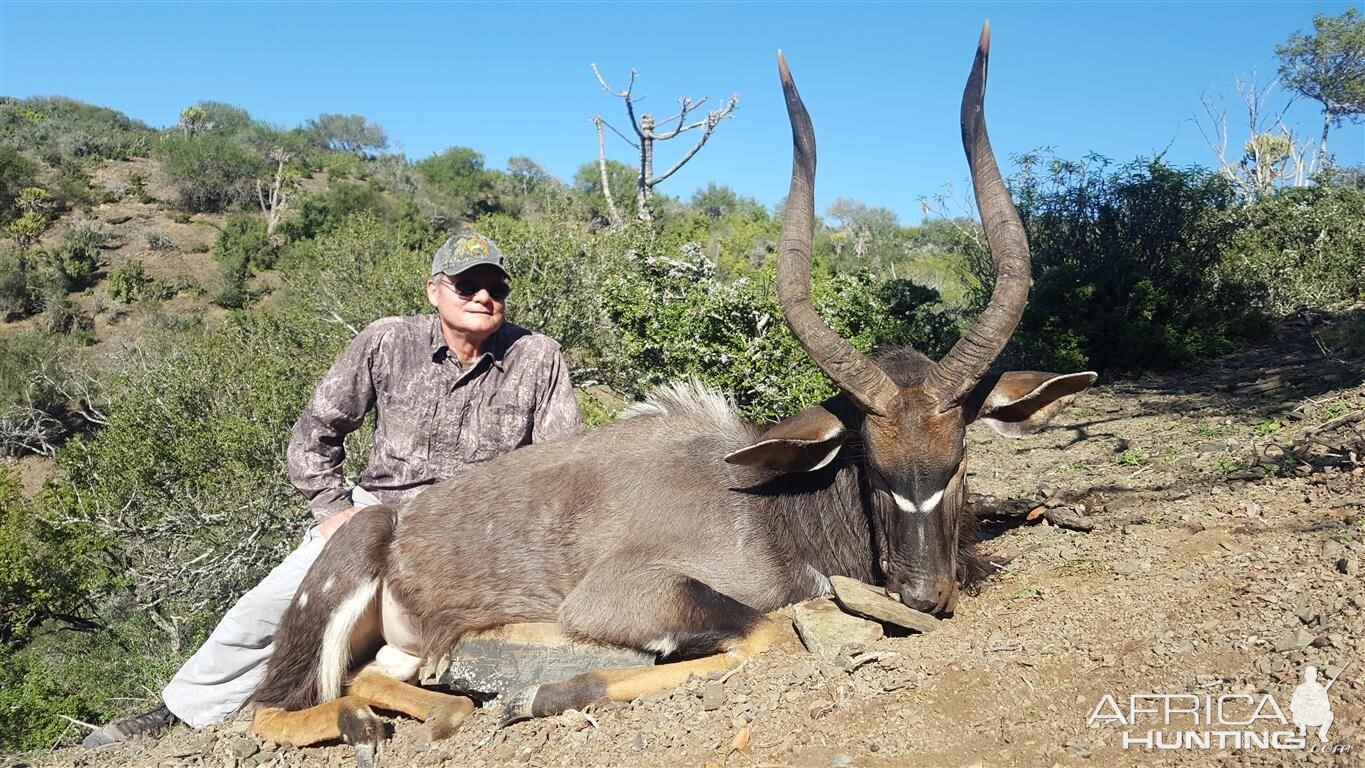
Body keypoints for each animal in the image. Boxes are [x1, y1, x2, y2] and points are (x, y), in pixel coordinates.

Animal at [248, 25, 1097, 758]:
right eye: (869, 461)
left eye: (957, 460)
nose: (923, 594)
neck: (770, 509)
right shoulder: (626, 594)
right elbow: (765, 633)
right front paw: (543, 692)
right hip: (340, 580)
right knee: (274, 708)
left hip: (392, 649)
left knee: (376, 679)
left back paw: (446, 702)